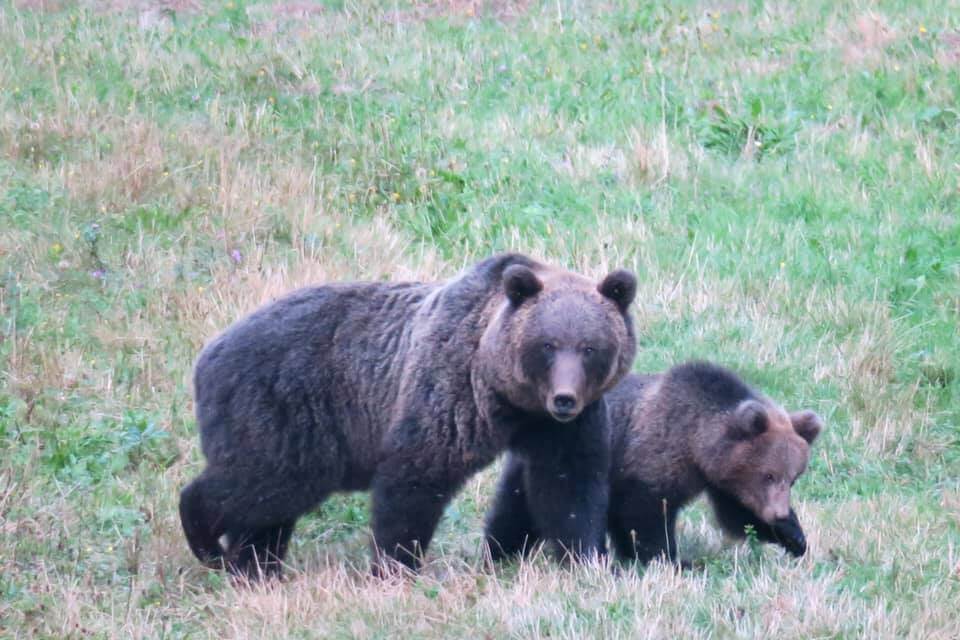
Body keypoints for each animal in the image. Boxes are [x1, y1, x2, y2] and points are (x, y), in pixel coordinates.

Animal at [179, 253, 638, 579]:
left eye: (590, 347)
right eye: (547, 344)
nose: (564, 399)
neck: (509, 397)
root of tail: (207, 355)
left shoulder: (562, 427)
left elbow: (568, 487)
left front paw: (584, 560)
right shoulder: (450, 393)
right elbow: (414, 478)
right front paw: (396, 565)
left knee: (267, 507)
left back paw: (256, 567)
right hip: (282, 408)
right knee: (262, 482)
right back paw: (207, 539)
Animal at [484, 361, 823, 565]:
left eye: (793, 477)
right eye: (768, 475)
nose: (779, 512)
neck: (696, 443)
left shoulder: (720, 478)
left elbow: (736, 515)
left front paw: (794, 536)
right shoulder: (651, 459)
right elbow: (646, 515)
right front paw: (671, 560)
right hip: (560, 460)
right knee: (525, 511)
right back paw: (501, 552)